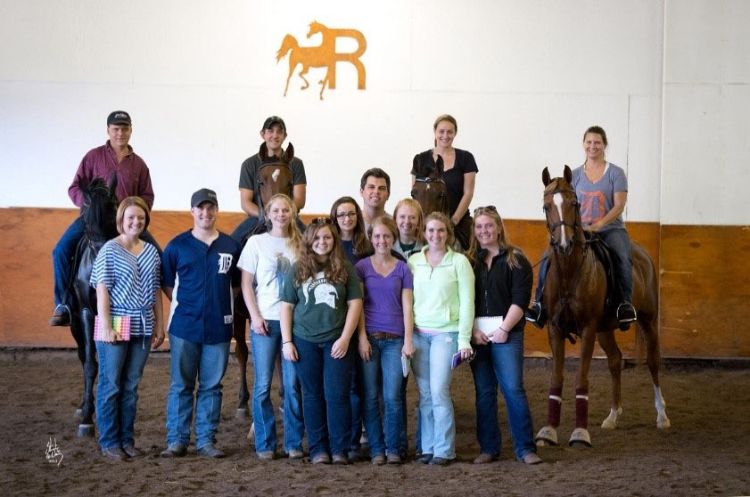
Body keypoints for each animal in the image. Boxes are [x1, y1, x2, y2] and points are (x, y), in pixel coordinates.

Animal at [536, 165, 668, 448]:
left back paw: (662, 416)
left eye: (574, 203)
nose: (564, 244)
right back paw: (613, 416)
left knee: (653, 362)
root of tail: (644, 255)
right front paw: (549, 431)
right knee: (615, 361)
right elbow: (556, 378)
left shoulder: (587, 329)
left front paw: (580, 434)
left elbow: (581, 379)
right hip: (605, 329)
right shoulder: (555, 328)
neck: (570, 272)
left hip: (648, 320)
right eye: (546, 206)